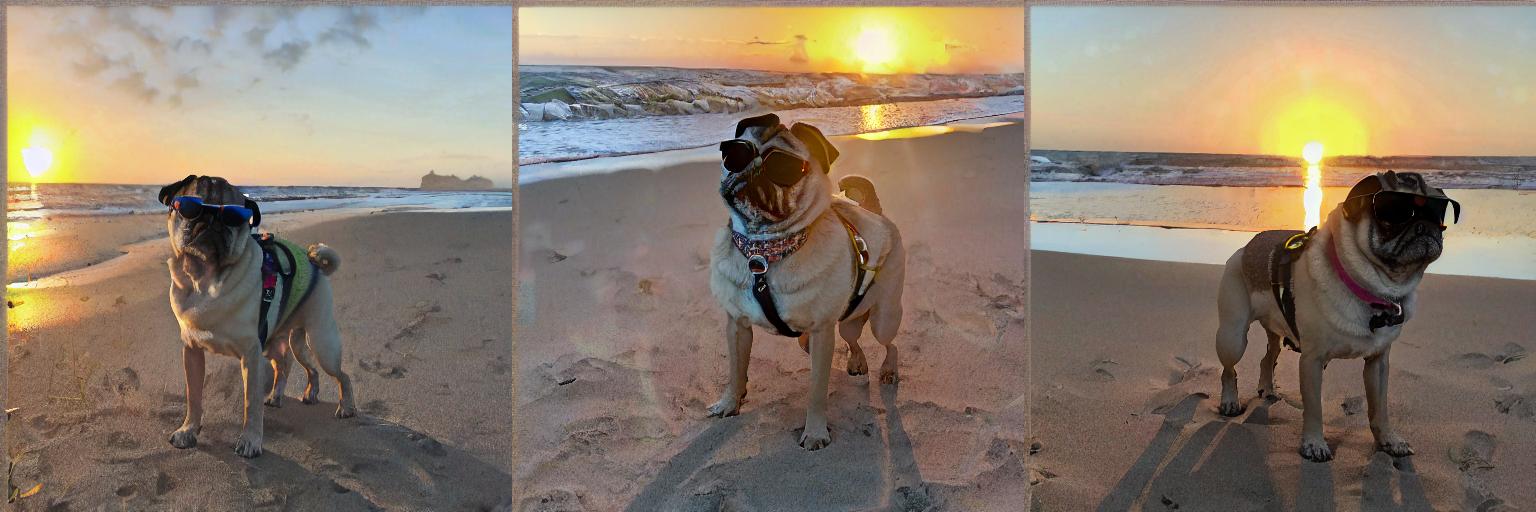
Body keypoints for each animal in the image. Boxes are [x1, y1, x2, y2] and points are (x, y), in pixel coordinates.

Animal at [161, 173, 356, 455]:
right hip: (287, 343)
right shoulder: (192, 351)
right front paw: (189, 430)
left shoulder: (251, 355)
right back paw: (294, 394)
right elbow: (193, 396)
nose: (212, 221)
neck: (205, 280)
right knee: (292, 366)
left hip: (321, 344)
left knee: (341, 375)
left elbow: (250, 403)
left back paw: (347, 406)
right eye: (190, 208)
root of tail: (315, 265)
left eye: (233, 216)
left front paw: (250, 440)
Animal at [703, 113, 903, 448]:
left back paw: (888, 370)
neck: (763, 252)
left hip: (883, 319)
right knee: (850, 339)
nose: (754, 167)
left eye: (785, 168)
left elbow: (817, 391)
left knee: (890, 344)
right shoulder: (737, 326)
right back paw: (856, 362)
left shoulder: (823, 332)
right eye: (735, 153)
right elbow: (736, 370)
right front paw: (730, 402)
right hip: (844, 322)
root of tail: (874, 214)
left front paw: (816, 432)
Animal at [1216, 170, 1456, 458]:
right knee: (1229, 369)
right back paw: (1230, 401)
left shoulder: (1378, 362)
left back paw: (1268, 388)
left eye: (1438, 215)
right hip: (1233, 336)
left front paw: (1388, 440)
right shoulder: (1312, 360)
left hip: (1276, 328)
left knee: (1268, 357)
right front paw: (1314, 443)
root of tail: (1248, 246)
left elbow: (1379, 408)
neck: (1373, 292)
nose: (1425, 226)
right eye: (1395, 213)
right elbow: (1314, 408)